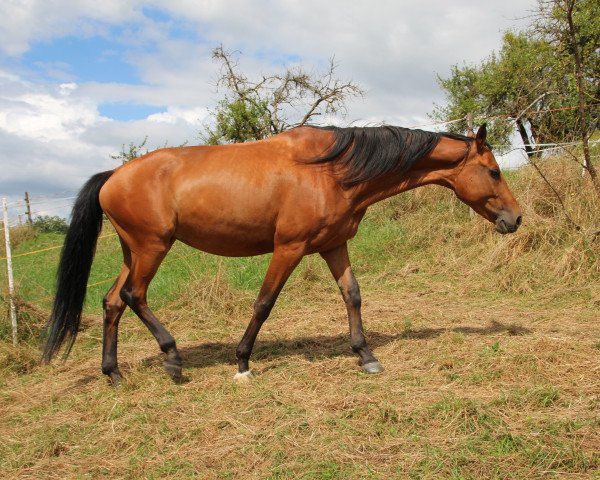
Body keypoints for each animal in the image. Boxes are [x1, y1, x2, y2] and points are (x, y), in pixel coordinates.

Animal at [41, 123, 520, 382]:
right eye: (494, 171)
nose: (515, 219)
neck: (333, 169)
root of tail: (112, 176)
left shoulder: (334, 245)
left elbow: (353, 295)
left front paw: (365, 356)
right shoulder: (289, 248)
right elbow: (264, 303)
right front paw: (242, 362)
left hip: (133, 251)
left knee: (111, 302)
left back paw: (113, 373)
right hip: (153, 247)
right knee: (133, 296)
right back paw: (173, 359)